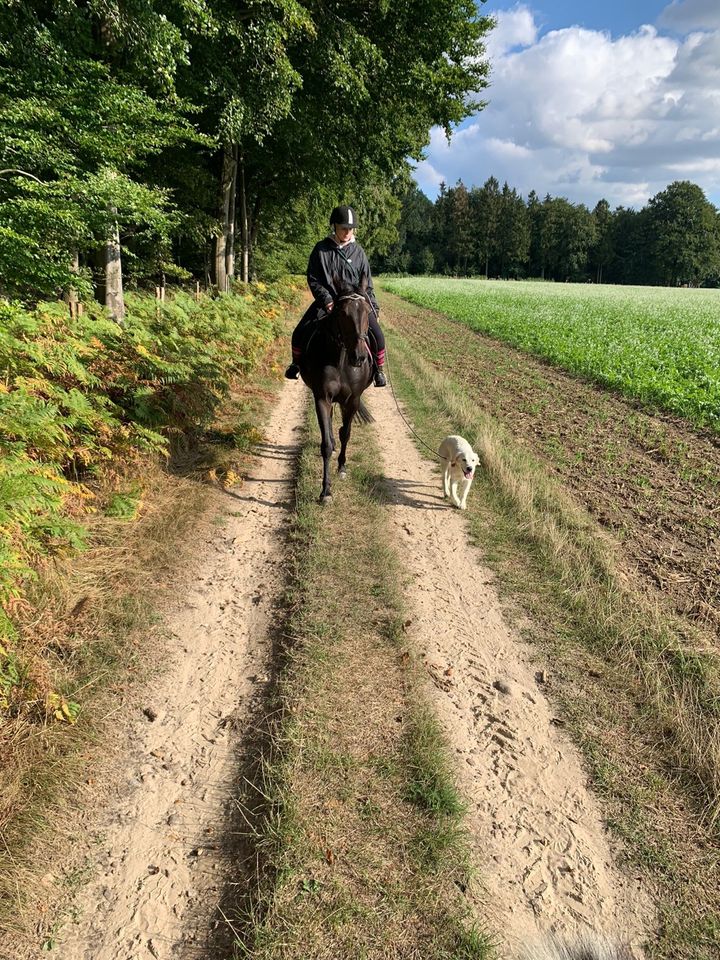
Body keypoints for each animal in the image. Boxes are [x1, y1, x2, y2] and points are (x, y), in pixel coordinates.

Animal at [300, 278, 374, 502]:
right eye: (343, 313)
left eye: (368, 311)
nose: (359, 356)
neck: (341, 359)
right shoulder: (322, 398)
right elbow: (325, 443)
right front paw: (325, 491)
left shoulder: (353, 400)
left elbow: (346, 434)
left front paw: (342, 466)